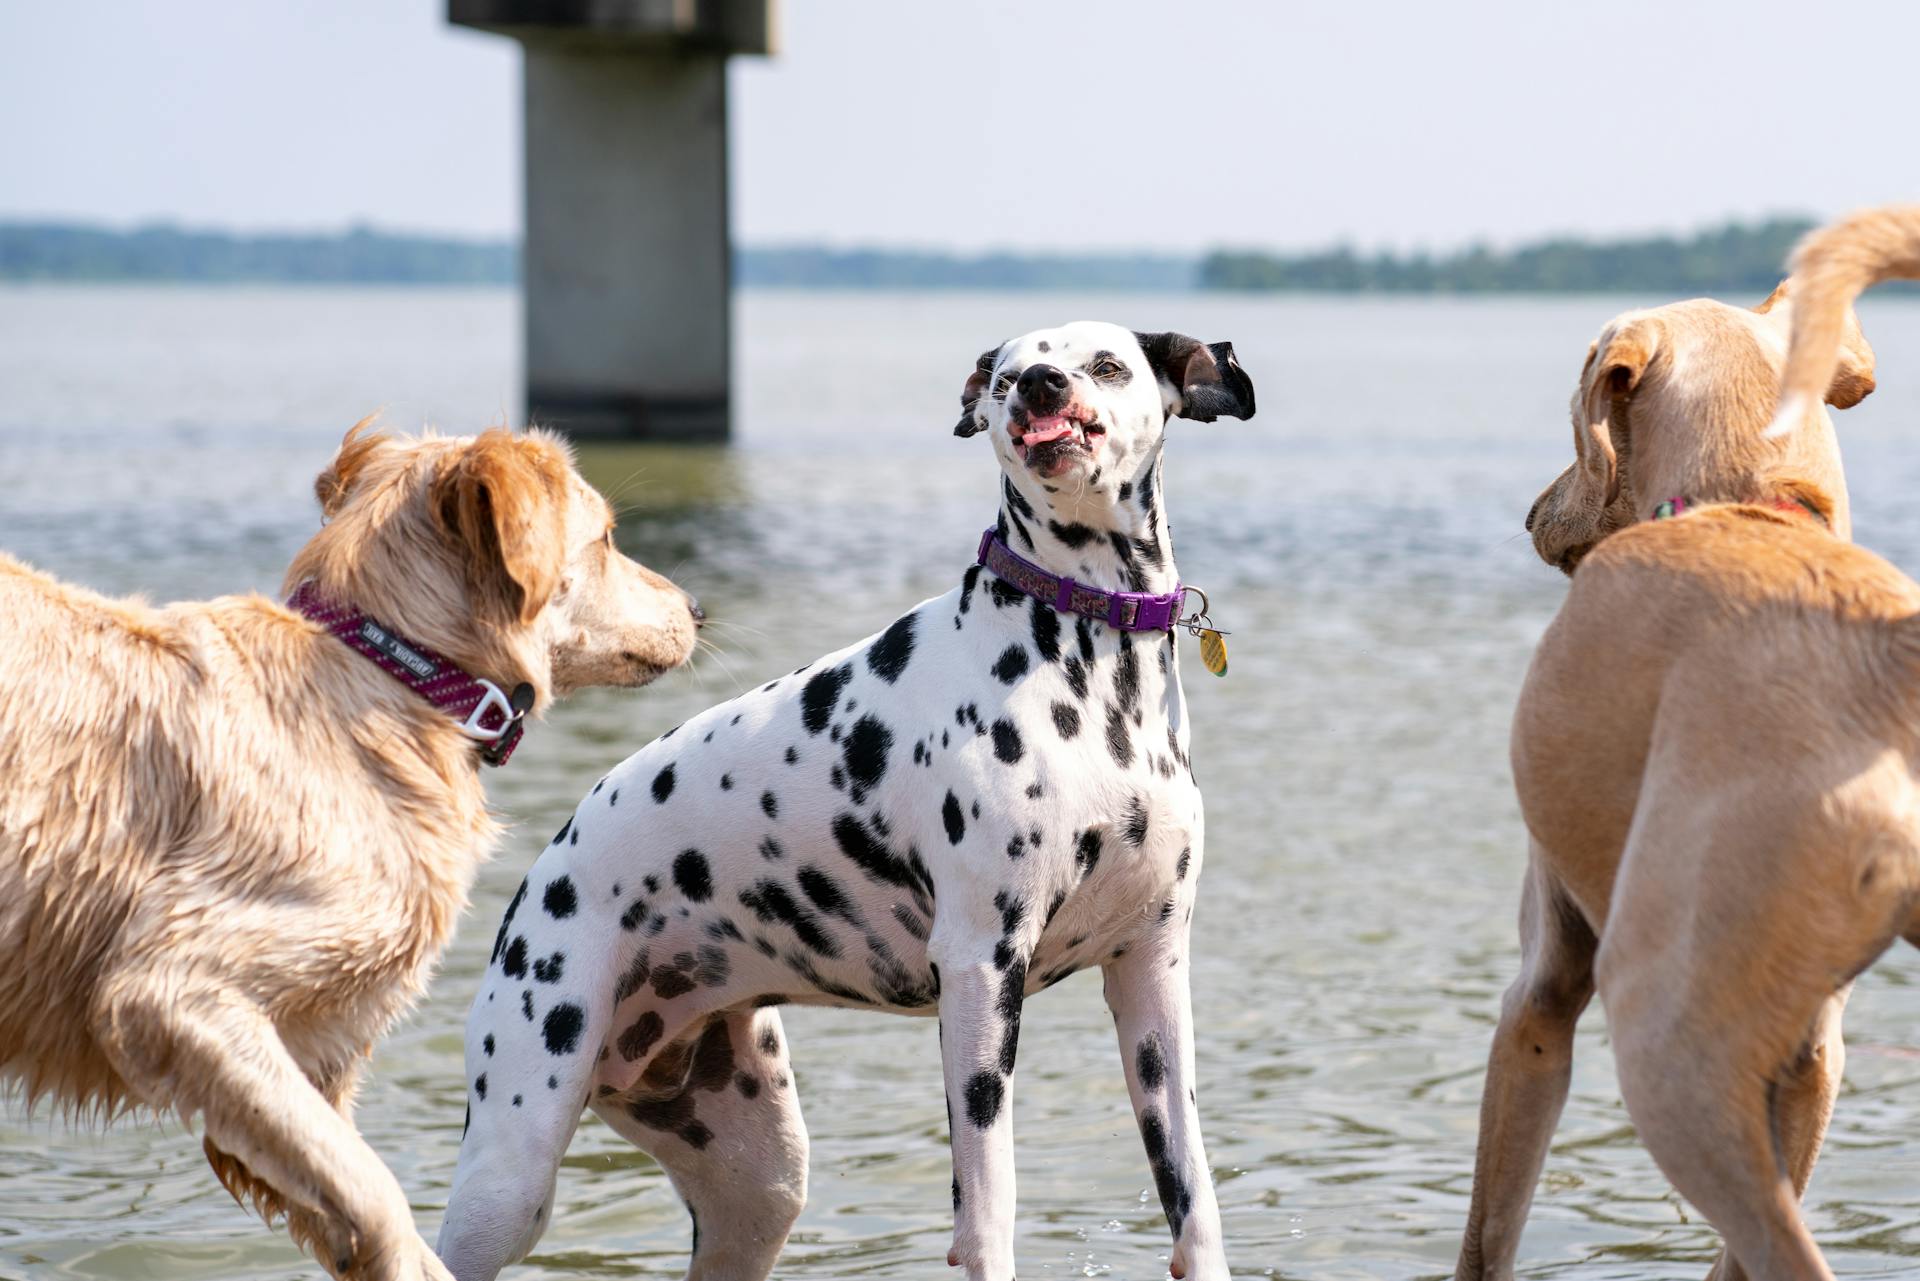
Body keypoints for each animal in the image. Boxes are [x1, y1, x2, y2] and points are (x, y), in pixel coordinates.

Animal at [0, 426, 702, 1281]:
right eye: (605, 537)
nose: (697, 606)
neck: (389, 672)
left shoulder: (311, 1054)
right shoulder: (170, 989)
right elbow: (375, 1194)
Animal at [435, 322, 1259, 1281]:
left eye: (1105, 364)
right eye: (1009, 375)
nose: (1042, 388)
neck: (1093, 669)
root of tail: (543, 874)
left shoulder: (1152, 976)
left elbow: (1193, 1196)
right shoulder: (982, 972)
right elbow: (989, 1205)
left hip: (758, 1189)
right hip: (512, 1173)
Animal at [1451, 205, 1920, 1275]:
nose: (1531, 512)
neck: (1747, 500)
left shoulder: (1542, 987)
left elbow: (1488, 1236)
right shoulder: (1816, 1057)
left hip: (1668, 1041)